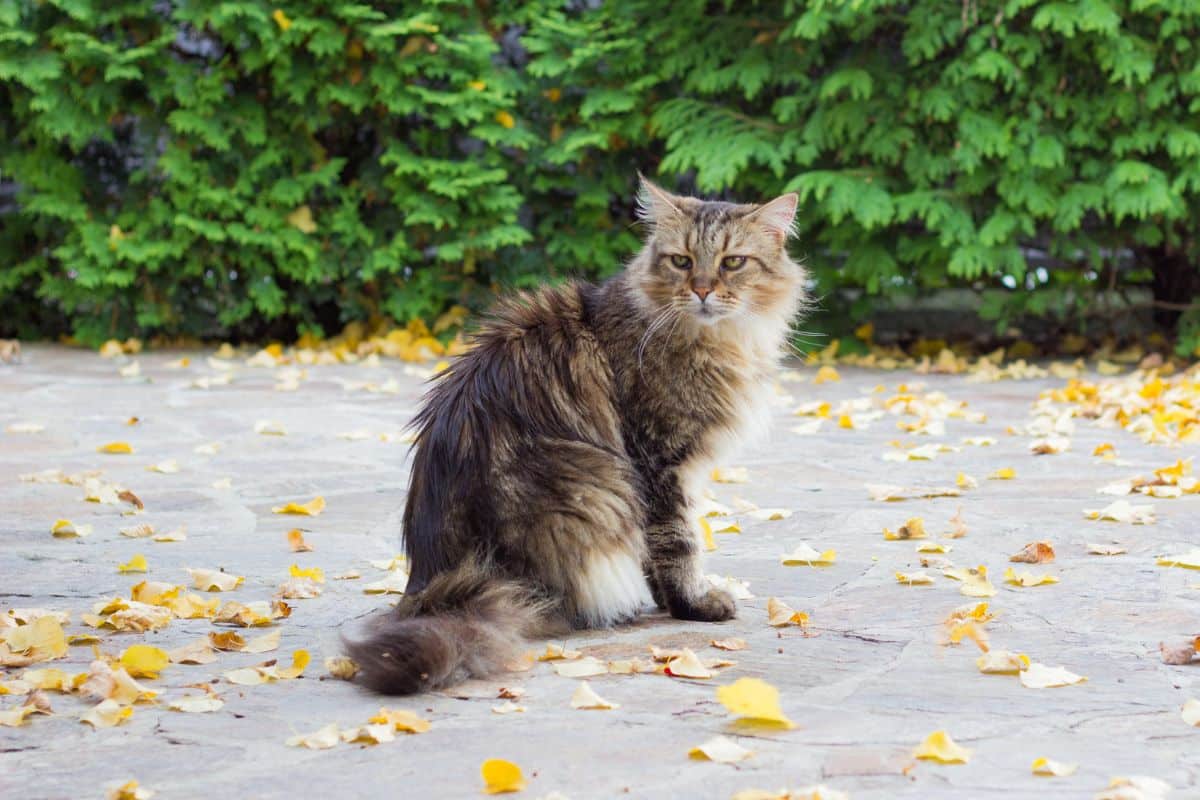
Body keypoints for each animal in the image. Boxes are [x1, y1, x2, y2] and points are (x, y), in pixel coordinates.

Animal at [345, 175, 806, 695]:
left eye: (732, 262)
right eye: (682, 261)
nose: (703, 289)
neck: (713, 342)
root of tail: (431, 583)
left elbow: (656, 552)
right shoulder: (659, 461)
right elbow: (678, 543)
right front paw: (694, 605)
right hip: (595, 485)